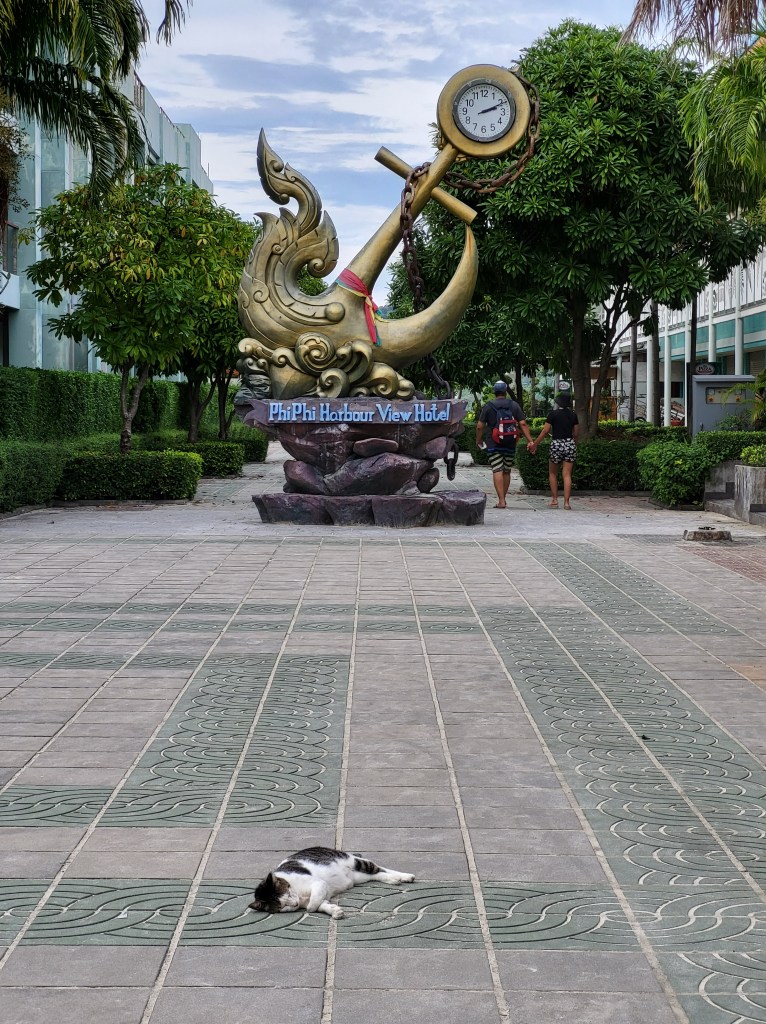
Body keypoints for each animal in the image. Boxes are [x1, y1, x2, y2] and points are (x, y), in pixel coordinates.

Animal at [249, 846, 415, 919]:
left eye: (288, 894)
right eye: (282, 907)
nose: (295, 904)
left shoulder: (319, 884)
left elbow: (313, 903)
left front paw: (310, 908)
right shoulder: (321, 894)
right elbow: (322, 904)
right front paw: (334, 910)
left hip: (357, 862)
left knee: (378, 867)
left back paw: (404, 876)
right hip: (359, 877)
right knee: (378, 874)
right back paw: (393, 879)